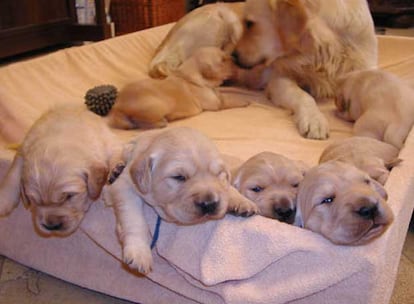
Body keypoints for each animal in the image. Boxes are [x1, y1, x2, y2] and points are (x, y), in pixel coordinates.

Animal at [0, 107, 124, 238]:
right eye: (34, 200)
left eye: (69, 196)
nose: (51, 226)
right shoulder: (25, 146)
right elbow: (15, 169)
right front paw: (4, 199)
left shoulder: (108, 141)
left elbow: (116, 151)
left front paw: (116, 169)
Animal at [105, 126, 258, 274]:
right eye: (179, 177)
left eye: (219, 174)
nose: (209, 204)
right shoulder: (124, 185)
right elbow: (134, 219)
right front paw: (139, 253)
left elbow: (227, 188)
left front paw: (241, 200)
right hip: (126, 148)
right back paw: (116, 169)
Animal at [107, 47, 249, 130]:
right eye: (222, 60)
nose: (235, 59)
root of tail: (117, 108)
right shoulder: (217, 104)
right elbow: (231, 100)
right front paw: (244, 101)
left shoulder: (217, 96)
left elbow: (225, 95)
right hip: (159, 105)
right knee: (141, 122)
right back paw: (164, 121)